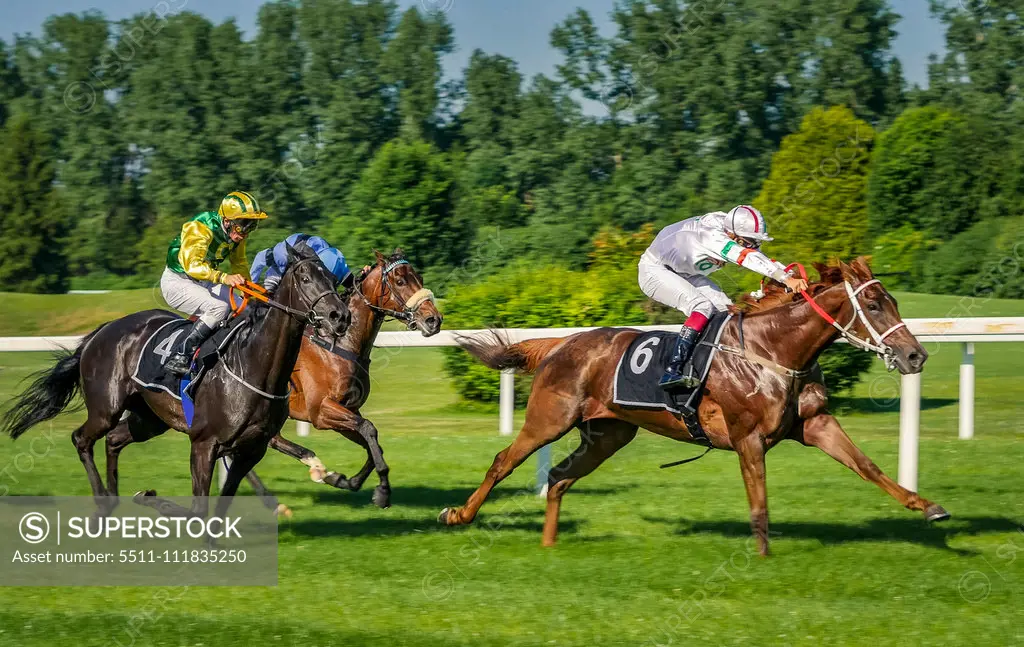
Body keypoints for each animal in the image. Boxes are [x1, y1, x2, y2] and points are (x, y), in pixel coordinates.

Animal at [0, 242, 350, 515]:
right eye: (305, 278)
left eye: (332, 278)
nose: (340, 316)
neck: (253, 365)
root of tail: (100, 332)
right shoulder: (204, 443)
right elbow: (199, 509)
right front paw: (149, 497)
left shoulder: (252, 448)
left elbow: (219, 505)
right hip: (105, 409)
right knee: (81, 439)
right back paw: (102, 501)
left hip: (149, 418)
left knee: (114, 440)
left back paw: (113, 500)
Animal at [97, 247, 442, 509]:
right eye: (400, 280)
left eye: (419, 278)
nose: (433, 320)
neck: (339, 343)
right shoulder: (322, 411)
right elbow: (370, 430)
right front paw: (379, 491)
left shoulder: (346, 409)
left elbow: (371, 441)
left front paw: (350, 480)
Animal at [440, 257, 950, 556]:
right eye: (873, 304)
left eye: (892, 300)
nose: (915, 356)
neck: (773, 350)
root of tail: (562, 343)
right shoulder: (747, 437)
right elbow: (759, 502)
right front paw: (764, 558)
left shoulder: (815, 423)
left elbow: (868, 467)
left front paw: (928, 507)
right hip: (550, 419)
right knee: (503, 461)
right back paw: (459, 515)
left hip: (607, 435)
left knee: (561, 477)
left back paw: (549, 544)